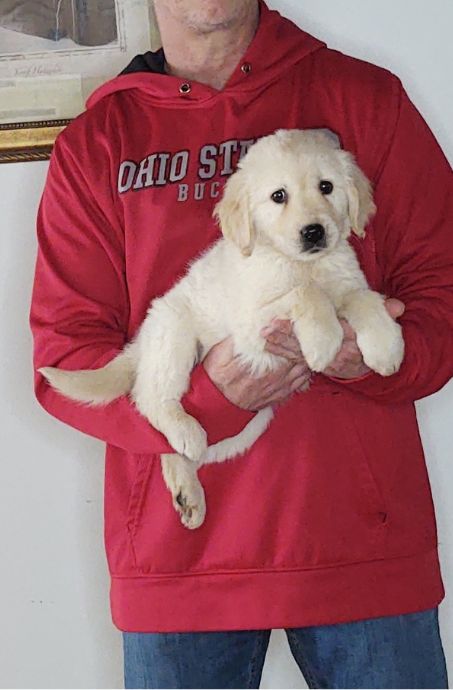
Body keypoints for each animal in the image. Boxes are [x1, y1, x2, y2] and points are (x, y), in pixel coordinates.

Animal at [38, 129, 402, 528]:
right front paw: (323, 340)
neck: (300, 263)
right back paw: (185, 432)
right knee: (148, 400)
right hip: (174, 335)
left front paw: (386, 347)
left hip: (251, 422)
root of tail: (141, 343)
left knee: (173, 448)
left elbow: (365, 299)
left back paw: (188, 494)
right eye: (279, 196)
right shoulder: (252, 323)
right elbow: (306, 294)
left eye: (327, 186)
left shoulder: (346, 284)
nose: (313, 232)